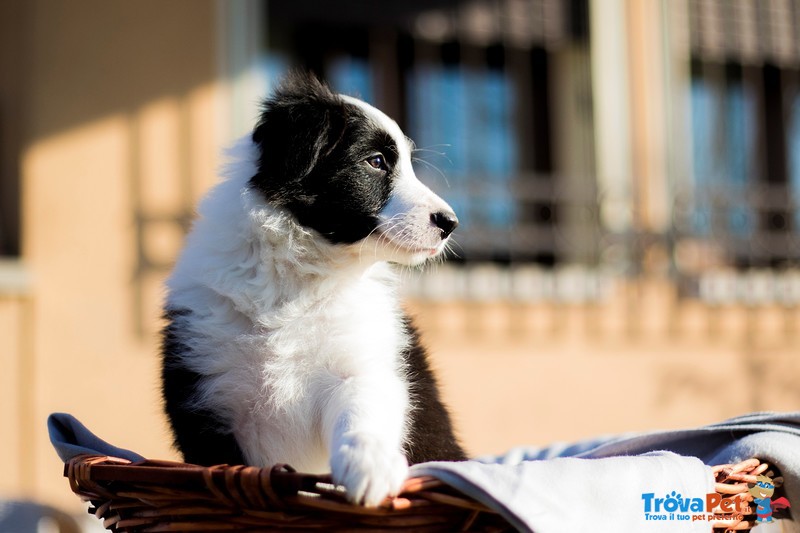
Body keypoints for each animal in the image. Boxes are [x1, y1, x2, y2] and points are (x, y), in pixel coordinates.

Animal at [159, 72, 466, 504]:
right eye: (375, 161)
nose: (450, 222)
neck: (298, 274)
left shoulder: (362, 362)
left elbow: (363, 411)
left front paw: (370, 468)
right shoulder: (205, 398)